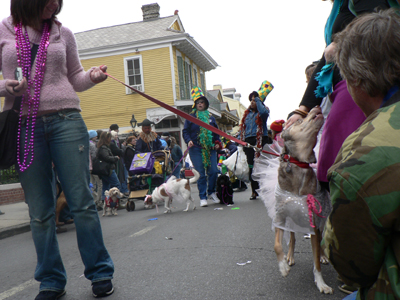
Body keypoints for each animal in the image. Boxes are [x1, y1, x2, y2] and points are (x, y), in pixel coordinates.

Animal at [274, 106, 332, 294]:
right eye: (299, 120)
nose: (317, 107)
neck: (299, 164)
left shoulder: (313, 221)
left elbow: (316, 258)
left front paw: (321, 283)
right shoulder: (280, 216)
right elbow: (277, 245)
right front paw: (283, 267)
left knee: (320, 240)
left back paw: (323, 256)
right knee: (292, 238)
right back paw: (290, 257)